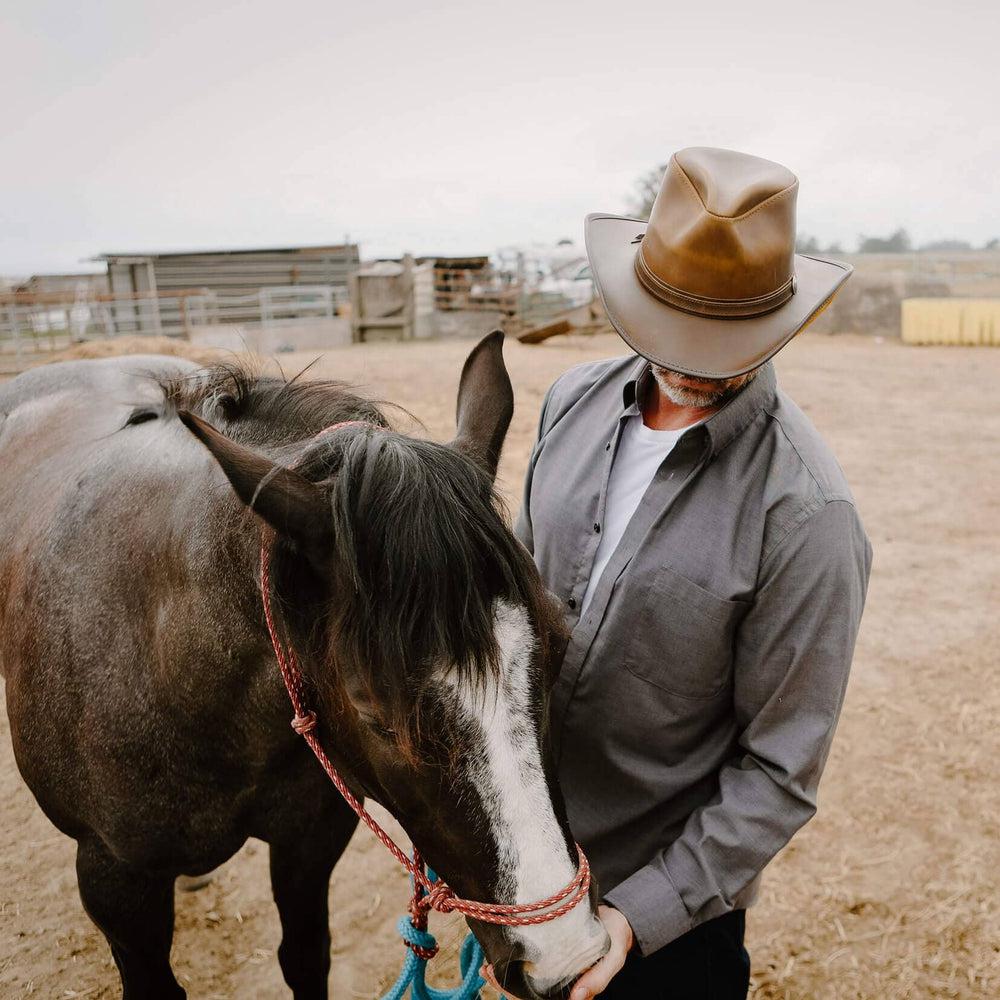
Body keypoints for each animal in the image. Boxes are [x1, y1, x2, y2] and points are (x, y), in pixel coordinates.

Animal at [0, 336, 608, 1000]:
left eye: (558, 643)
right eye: (372, 710)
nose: (567, 956)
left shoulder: (309, 841)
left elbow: (305, 956)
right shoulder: (115, 886)